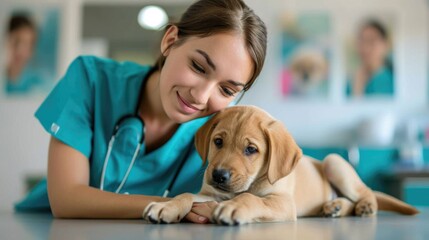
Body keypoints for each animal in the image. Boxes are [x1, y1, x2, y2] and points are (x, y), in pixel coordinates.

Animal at [142, 105, 416, 225]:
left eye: (251, 150)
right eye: (218, 142)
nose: (218, 176)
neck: (253, 182)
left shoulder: (284, 203)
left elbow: (251, 199)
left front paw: (234, 207)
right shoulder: (213, 193)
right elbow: (186, 194)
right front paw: (167, 207)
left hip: (333, 162)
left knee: (365, 192)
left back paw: (364, 206)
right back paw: (334, 207)